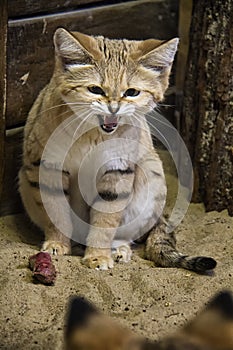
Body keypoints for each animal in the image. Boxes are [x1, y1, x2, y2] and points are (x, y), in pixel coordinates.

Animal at [18, 28, 217, 272]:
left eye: (131, 92)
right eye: (95, 89)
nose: (113, 108)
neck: (93, 135)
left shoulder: (117, 172)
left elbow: (105, 222)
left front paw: (98, 256)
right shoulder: (47, 168)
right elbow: (56, 212)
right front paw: (57, 243)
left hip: (152, 178)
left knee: (125, 233)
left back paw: (119, 249)